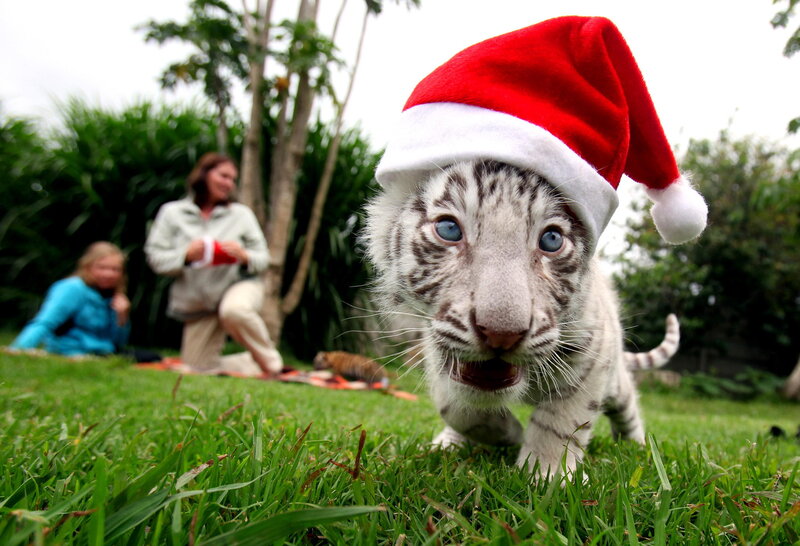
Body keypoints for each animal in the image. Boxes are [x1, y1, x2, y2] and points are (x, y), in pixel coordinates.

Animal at [363, 160, 682, 480]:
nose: (501, 333)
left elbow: (563, 421)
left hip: (617, 382)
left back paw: (637, 447)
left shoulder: (593, 351)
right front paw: (507, 433)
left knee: (628, 409)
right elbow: (455, 406)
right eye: (449, 229)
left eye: (551, 240)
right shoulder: (439, 350)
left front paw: (549, 475)